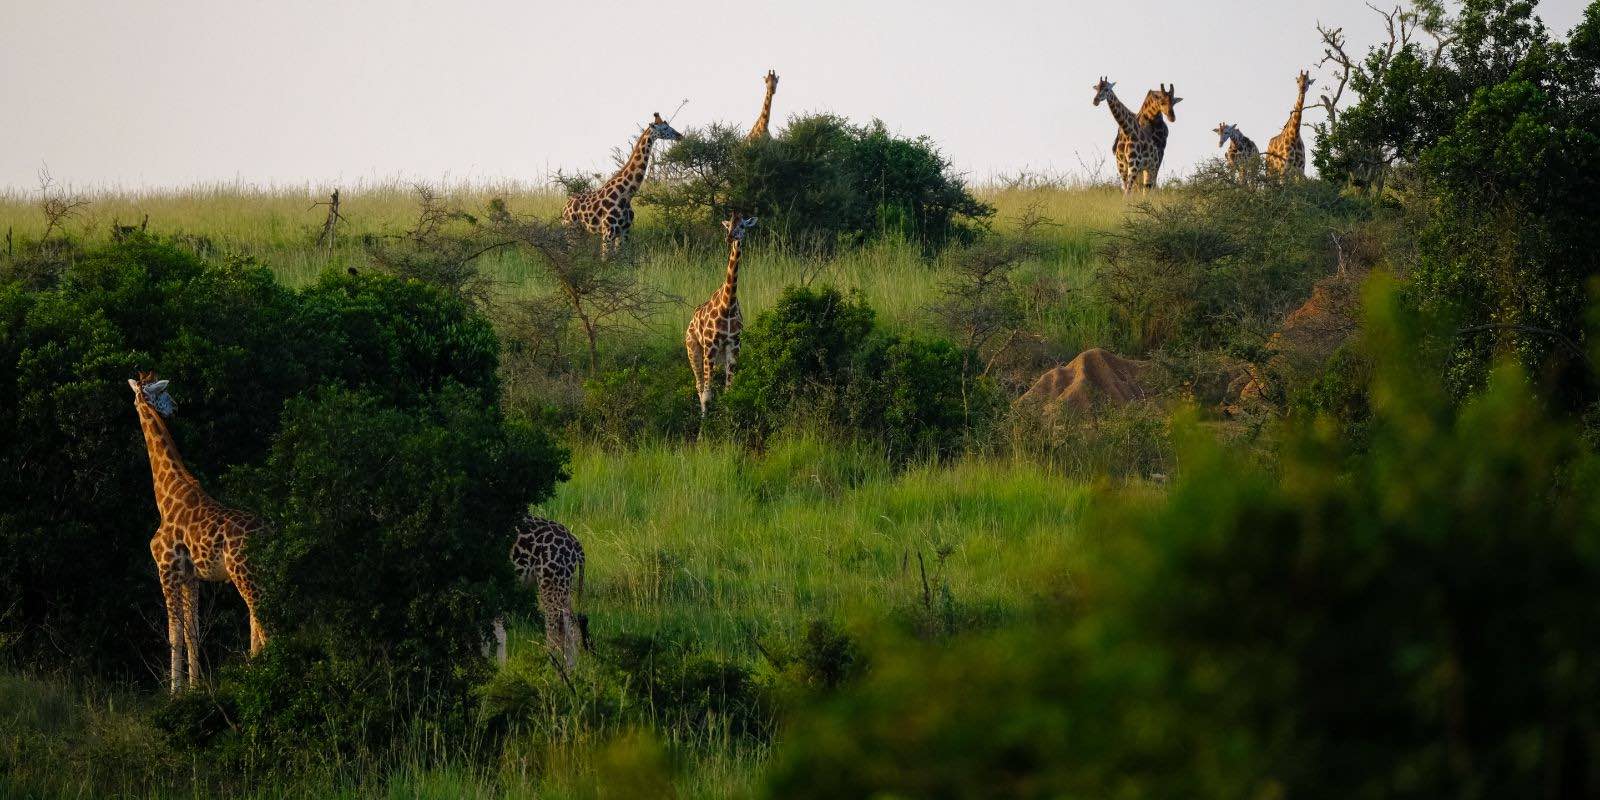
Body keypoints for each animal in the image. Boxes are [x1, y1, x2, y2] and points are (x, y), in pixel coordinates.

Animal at [129, 371, 267, 691]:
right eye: (163, 393)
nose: (176, 407)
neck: (166, 495)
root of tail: (270, 532)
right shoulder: (191, 577)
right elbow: (192, 632)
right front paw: (195, 688)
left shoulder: (166, 569)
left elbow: (174, 633)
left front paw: (175, 692)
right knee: (259, 618)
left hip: (244, 573)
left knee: (262, 617)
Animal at [492, 512, 588, 668]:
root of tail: (575, 542)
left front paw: (499, 668)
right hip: (563, 586)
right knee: (571, 627)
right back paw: (571, 669)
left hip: (551, 584)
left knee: (554, 632)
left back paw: (550, 668)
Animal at [563, 113, 681, 259]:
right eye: (665, 128)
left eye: (669, 125)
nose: (680, 136)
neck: (625, 194)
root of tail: (565, 206)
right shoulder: (608, 232)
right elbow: (605, 260)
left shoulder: (624, 231)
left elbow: (622, 259)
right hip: (571, 228)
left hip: (582, 231)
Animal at [684, 212, 758, 416]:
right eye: (728, 225)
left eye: (742, 225)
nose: (730, 237)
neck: (728, 304)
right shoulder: (710, 346)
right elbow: (707, 395)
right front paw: (706, 425)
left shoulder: (734, 345)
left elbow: (728, 391)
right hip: (694, 350)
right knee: (700, 386)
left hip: (719, 356)